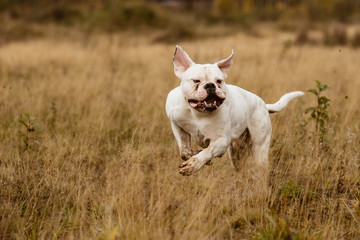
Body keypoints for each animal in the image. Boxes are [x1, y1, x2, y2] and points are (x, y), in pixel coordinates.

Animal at [166, 45, 304, 176]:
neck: (198, 113)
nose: (210, 85)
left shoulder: (221, 140)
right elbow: (184, 151)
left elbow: (207, 151)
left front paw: (193, 165)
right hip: (236, 153)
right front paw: (195, 154)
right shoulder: (177, 125)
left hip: (259, 147)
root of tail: (264, 104)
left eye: (219, 81)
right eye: (196, 81)